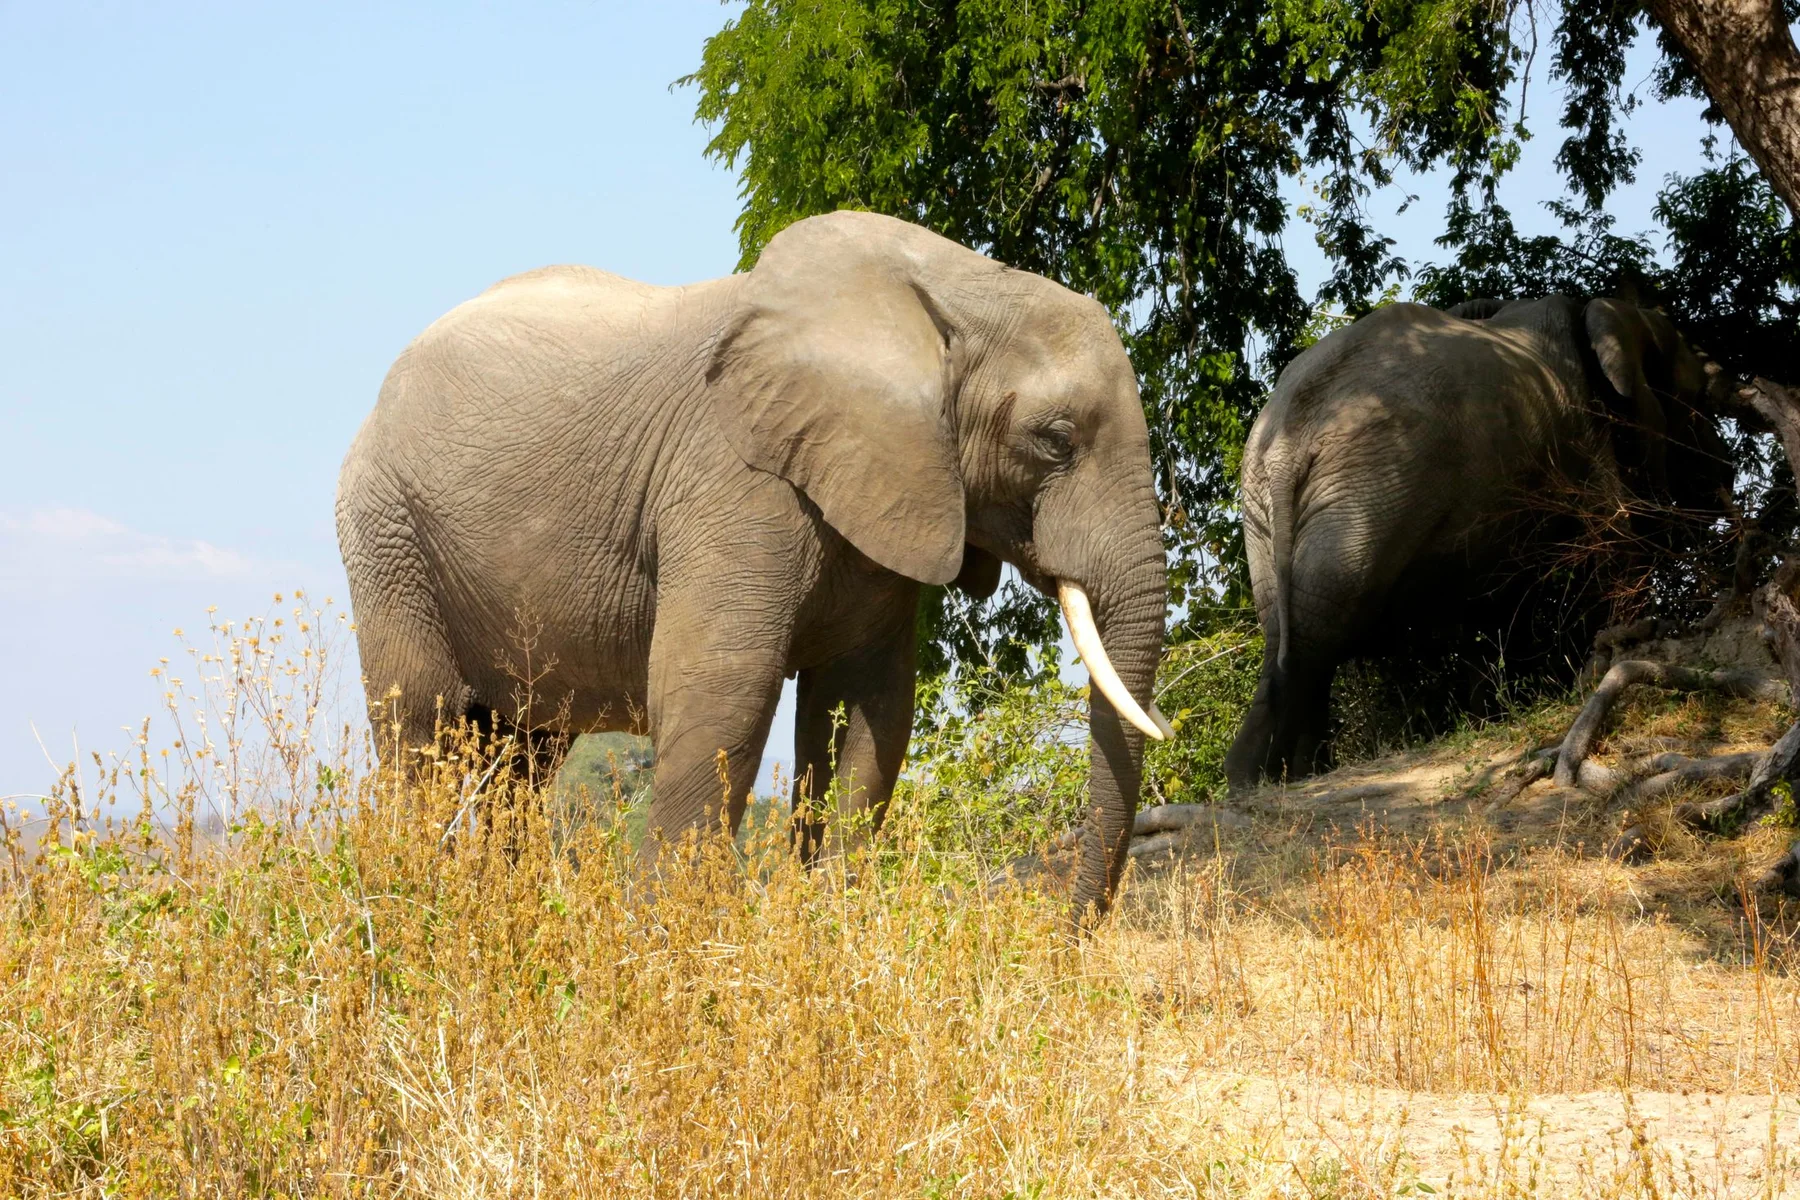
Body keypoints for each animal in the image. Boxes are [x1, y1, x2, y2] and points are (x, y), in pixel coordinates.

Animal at [336, 210, 1171, 921]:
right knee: (424, 729)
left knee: (520, 756)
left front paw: (825, 925)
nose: (1068, 932)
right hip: (388, 531)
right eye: (1055, 439)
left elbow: (864, 712)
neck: (954, 286)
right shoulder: (732, 483)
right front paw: (670, 939)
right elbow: (724, 689)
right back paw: (417, 909)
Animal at [1224, 295, 1732, 790]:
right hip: (1364, 485)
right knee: (1322, 622)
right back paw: (1257, 780)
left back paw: (1282, 775)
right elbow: (1616, 535)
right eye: (1696, 401)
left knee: (1294, 629)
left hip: (1267, 505)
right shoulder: (1584, 429)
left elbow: (1488, 600)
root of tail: (1287, 444)